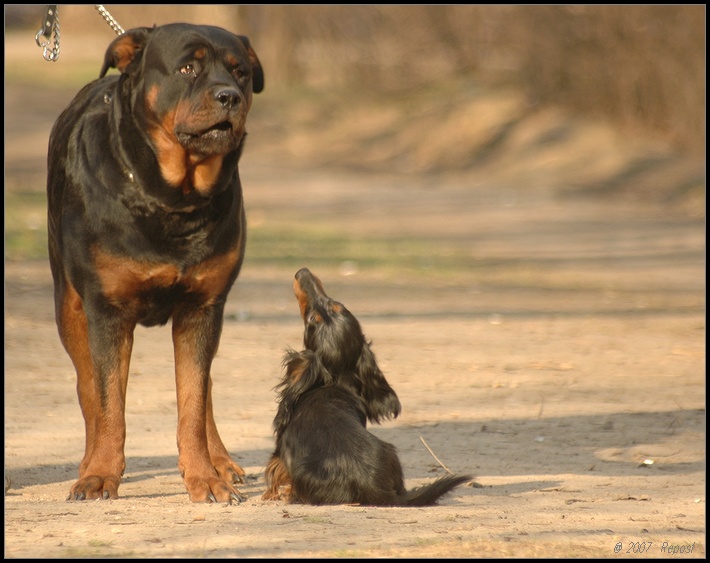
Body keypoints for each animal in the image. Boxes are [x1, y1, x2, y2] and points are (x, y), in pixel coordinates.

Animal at [46, 24, 264, 504]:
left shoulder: (203, 307)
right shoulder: (106, 309)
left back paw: (222, 462)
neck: (171, 198)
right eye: (187, 68)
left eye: (239, 72)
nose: (229, 96)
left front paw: (205, 476)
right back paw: (88, 460)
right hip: (68, 303)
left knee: (206, 388)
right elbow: (107, 401)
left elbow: (193, 400)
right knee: (87, 386)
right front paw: (99, 474)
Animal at [262, 268, 472, 506]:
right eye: (338, 304)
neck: (334, 381)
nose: (302, 272)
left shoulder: (280, 449)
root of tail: (370, 485)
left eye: (311, 320)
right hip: (390, 450)